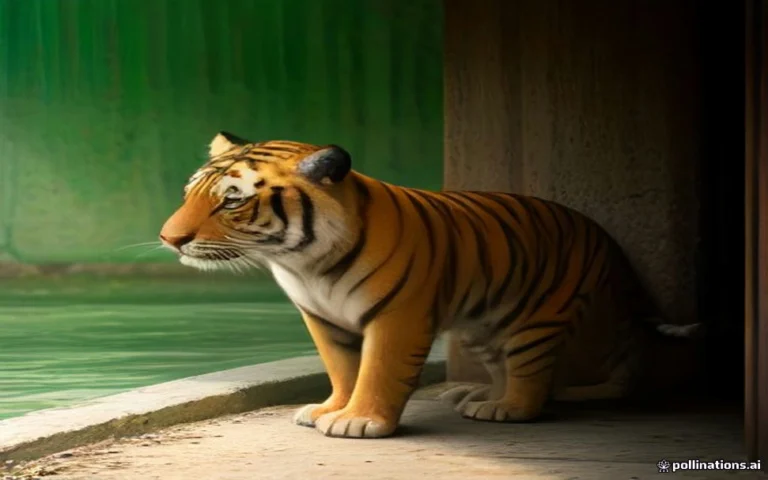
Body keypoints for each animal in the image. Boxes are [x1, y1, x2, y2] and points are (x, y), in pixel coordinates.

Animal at [159, 131, 702, 439]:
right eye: (190, 193)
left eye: (232, 200)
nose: (169, 239)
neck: (303, 263)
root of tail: (601, 232)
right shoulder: (320, 318)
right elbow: (342, 368)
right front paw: (332, 407)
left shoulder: (398, 314)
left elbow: (378, 370)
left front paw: (360, 421)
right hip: (486, 325)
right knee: (511, 368)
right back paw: (476, 397)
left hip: (537, 319)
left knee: (533, 377)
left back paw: (506, 408)